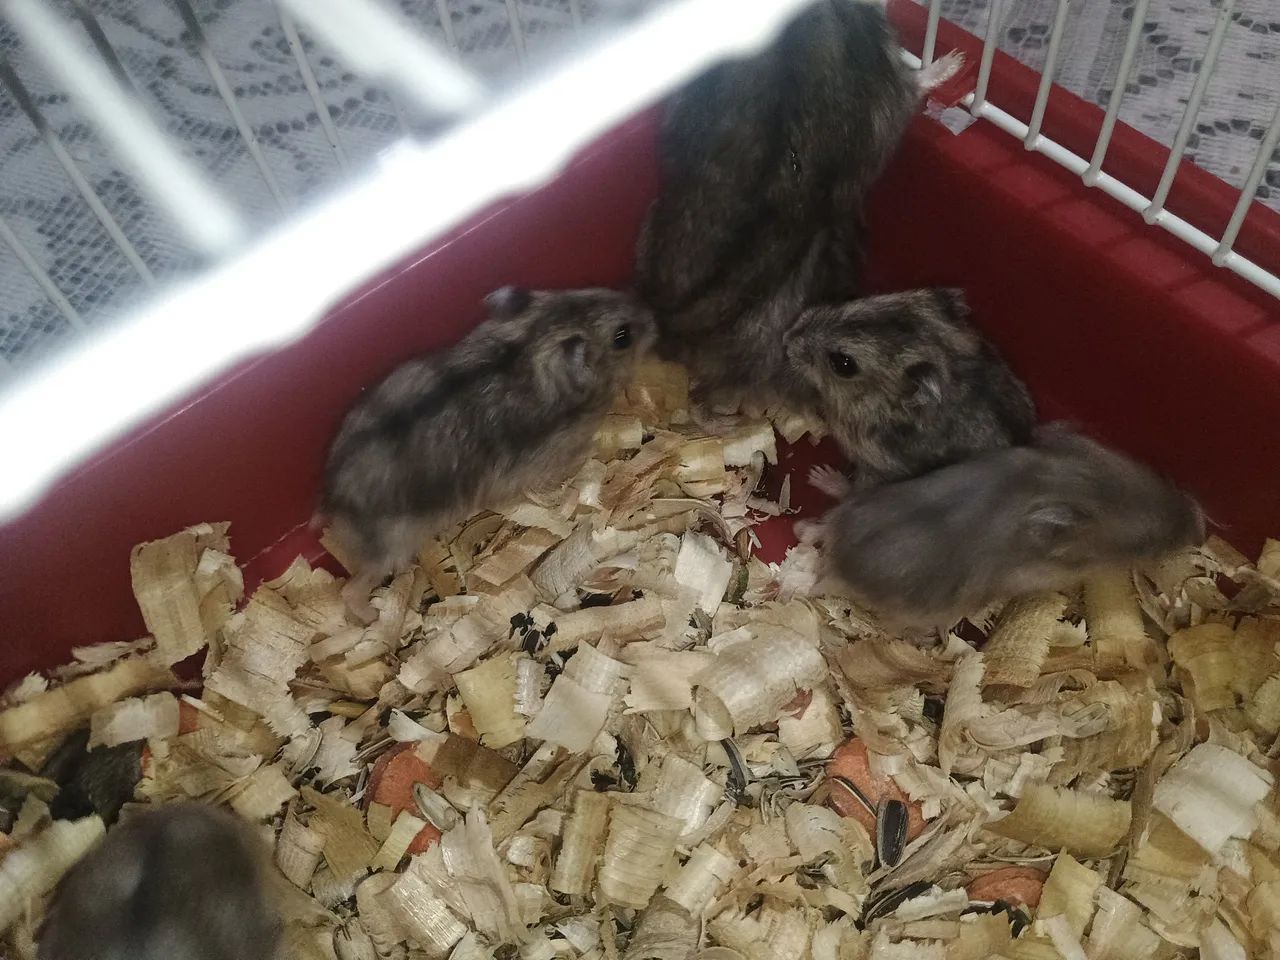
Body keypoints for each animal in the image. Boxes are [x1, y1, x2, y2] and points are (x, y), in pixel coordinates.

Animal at [319, 286, 655, 615]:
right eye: (622, 336)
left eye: (586, 292)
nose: (652, 313)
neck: (532, 345)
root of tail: (336, 501)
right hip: (392, 549)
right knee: (351, 590)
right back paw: (372, 614)